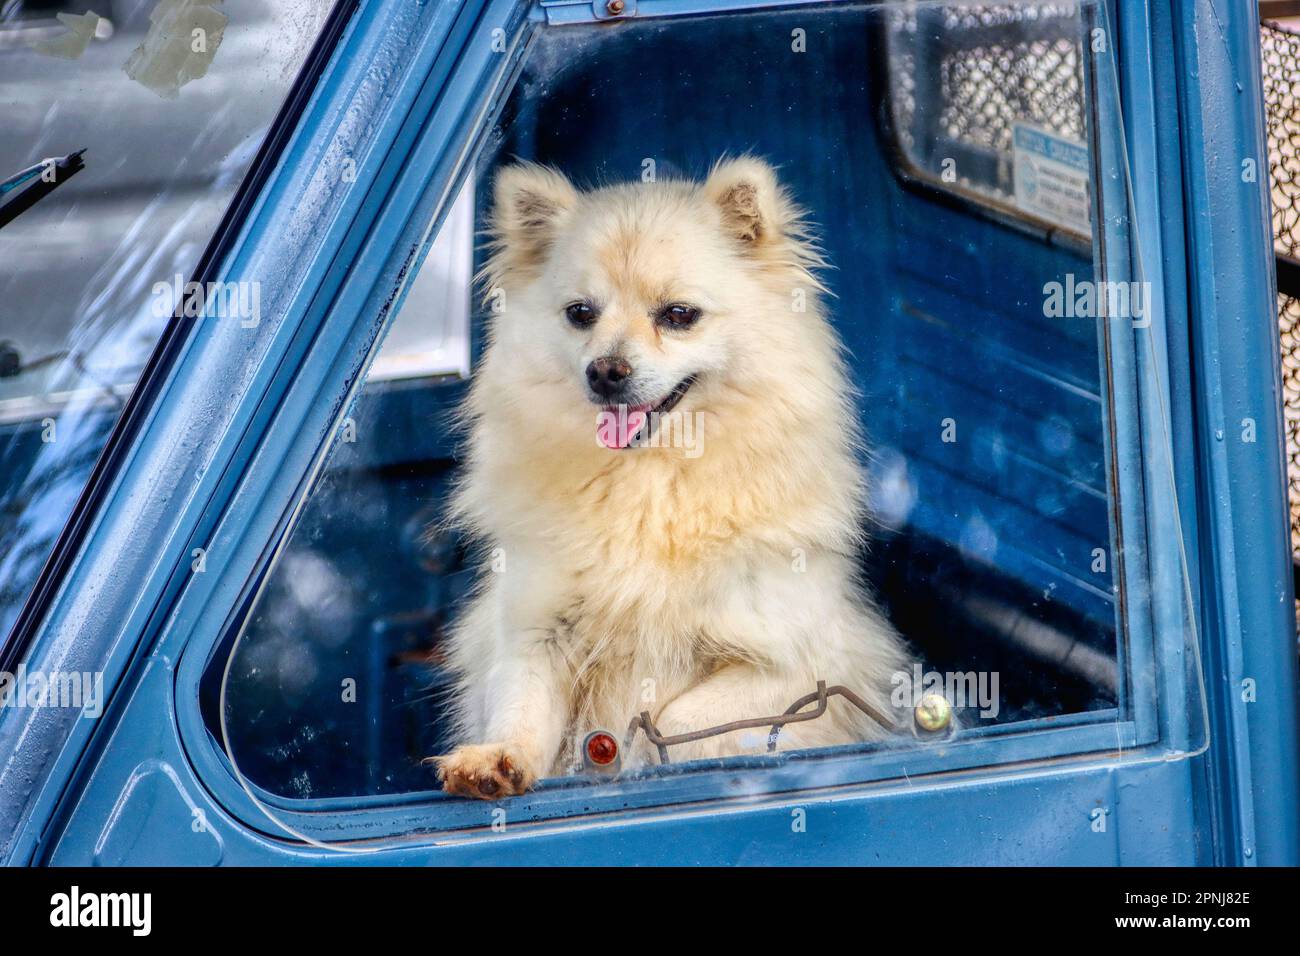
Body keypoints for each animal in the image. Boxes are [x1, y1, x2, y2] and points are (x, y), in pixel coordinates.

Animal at [431, 157, 909, 801]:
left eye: (679, 316)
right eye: (580, 314)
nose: (605, 371)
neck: (652, 480)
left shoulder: (793, 665)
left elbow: (681, 719)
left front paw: (644, 758)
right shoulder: (535, 634)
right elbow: (521, 708)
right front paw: (497, 761)